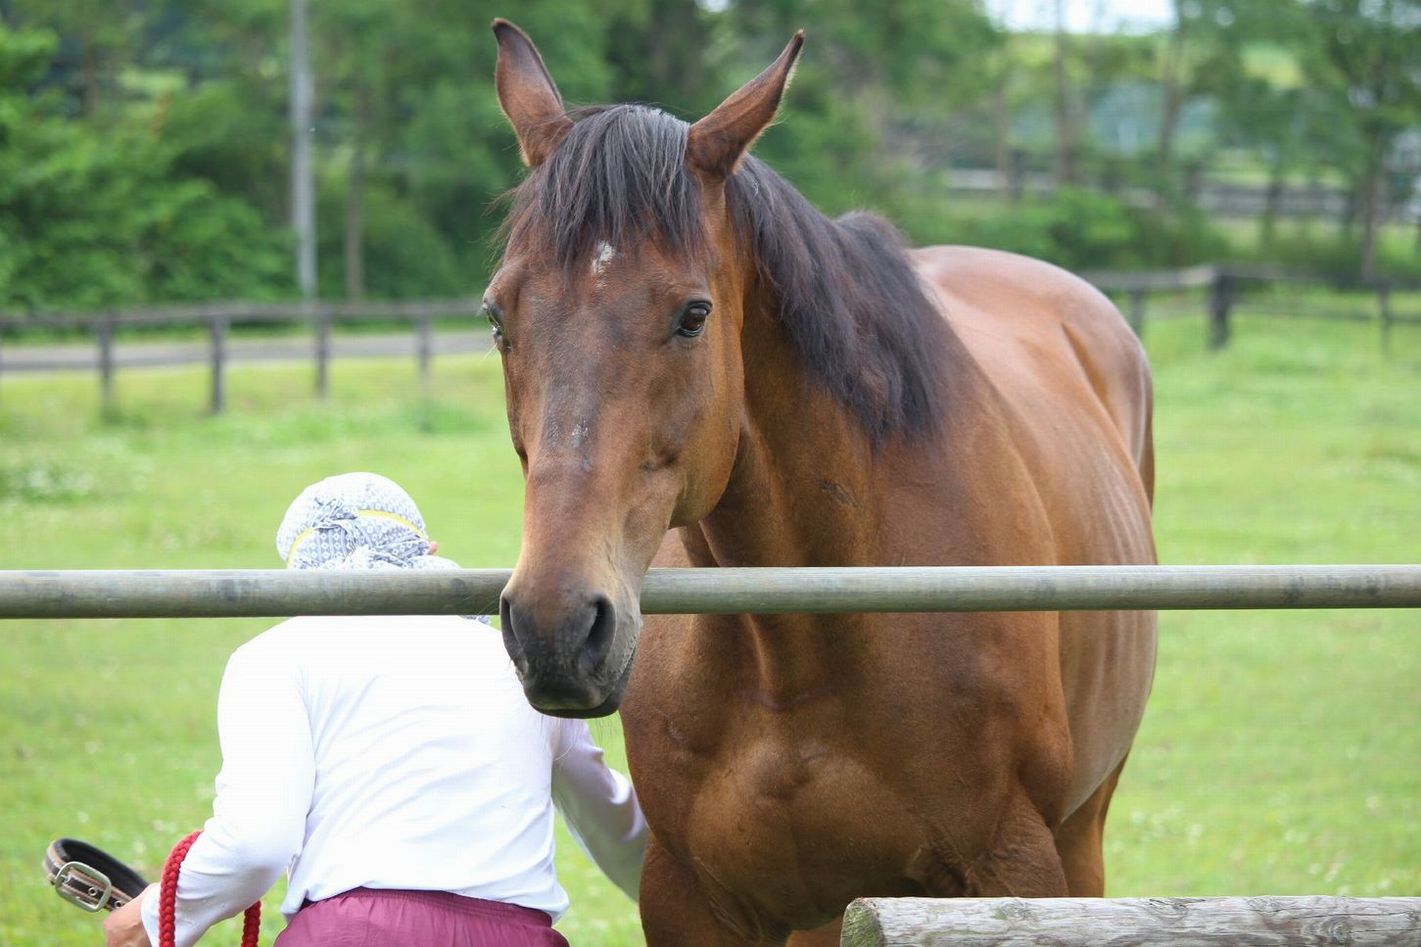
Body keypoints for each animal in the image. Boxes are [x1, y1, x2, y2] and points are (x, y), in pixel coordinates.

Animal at [488, 22, 1153, 944]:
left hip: (1081, 834)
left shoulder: (1009, 870)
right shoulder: (692, 896)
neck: (805, 640)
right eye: (497, 316)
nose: (554, 624)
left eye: (692, 315)